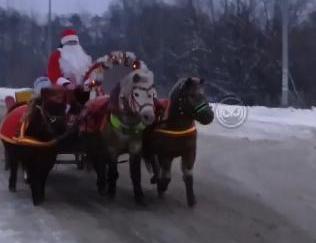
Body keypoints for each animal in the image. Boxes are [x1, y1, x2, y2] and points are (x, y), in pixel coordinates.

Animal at [144, 77, 215, 207]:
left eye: (204, 94)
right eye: (191, 95)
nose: (209, 115)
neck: (178, 129)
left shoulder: (190, 152)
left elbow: (188, 175)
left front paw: (192, 199)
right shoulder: (165, 154)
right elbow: (167, 176)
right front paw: (161, 187)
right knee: (155, 164)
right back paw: (156, 180)